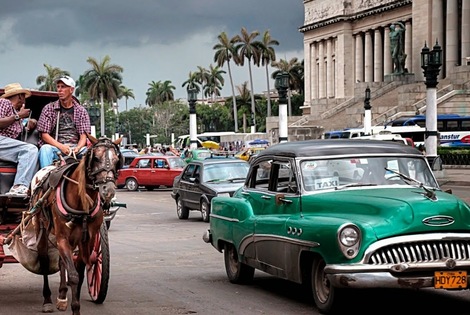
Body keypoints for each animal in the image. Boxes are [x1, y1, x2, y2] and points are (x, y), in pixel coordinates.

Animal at [28, 135, 122, 315]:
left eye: (116, 160)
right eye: (96, 158)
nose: (108, 191)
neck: (80, 203)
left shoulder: (86, 241)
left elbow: (80, 272)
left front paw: (73, 304)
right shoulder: (63, 238)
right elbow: (73, 276)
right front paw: (72, 305)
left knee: (62, 262)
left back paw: (62, 295)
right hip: (41, 228)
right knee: (44, 260)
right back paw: (48, 300)